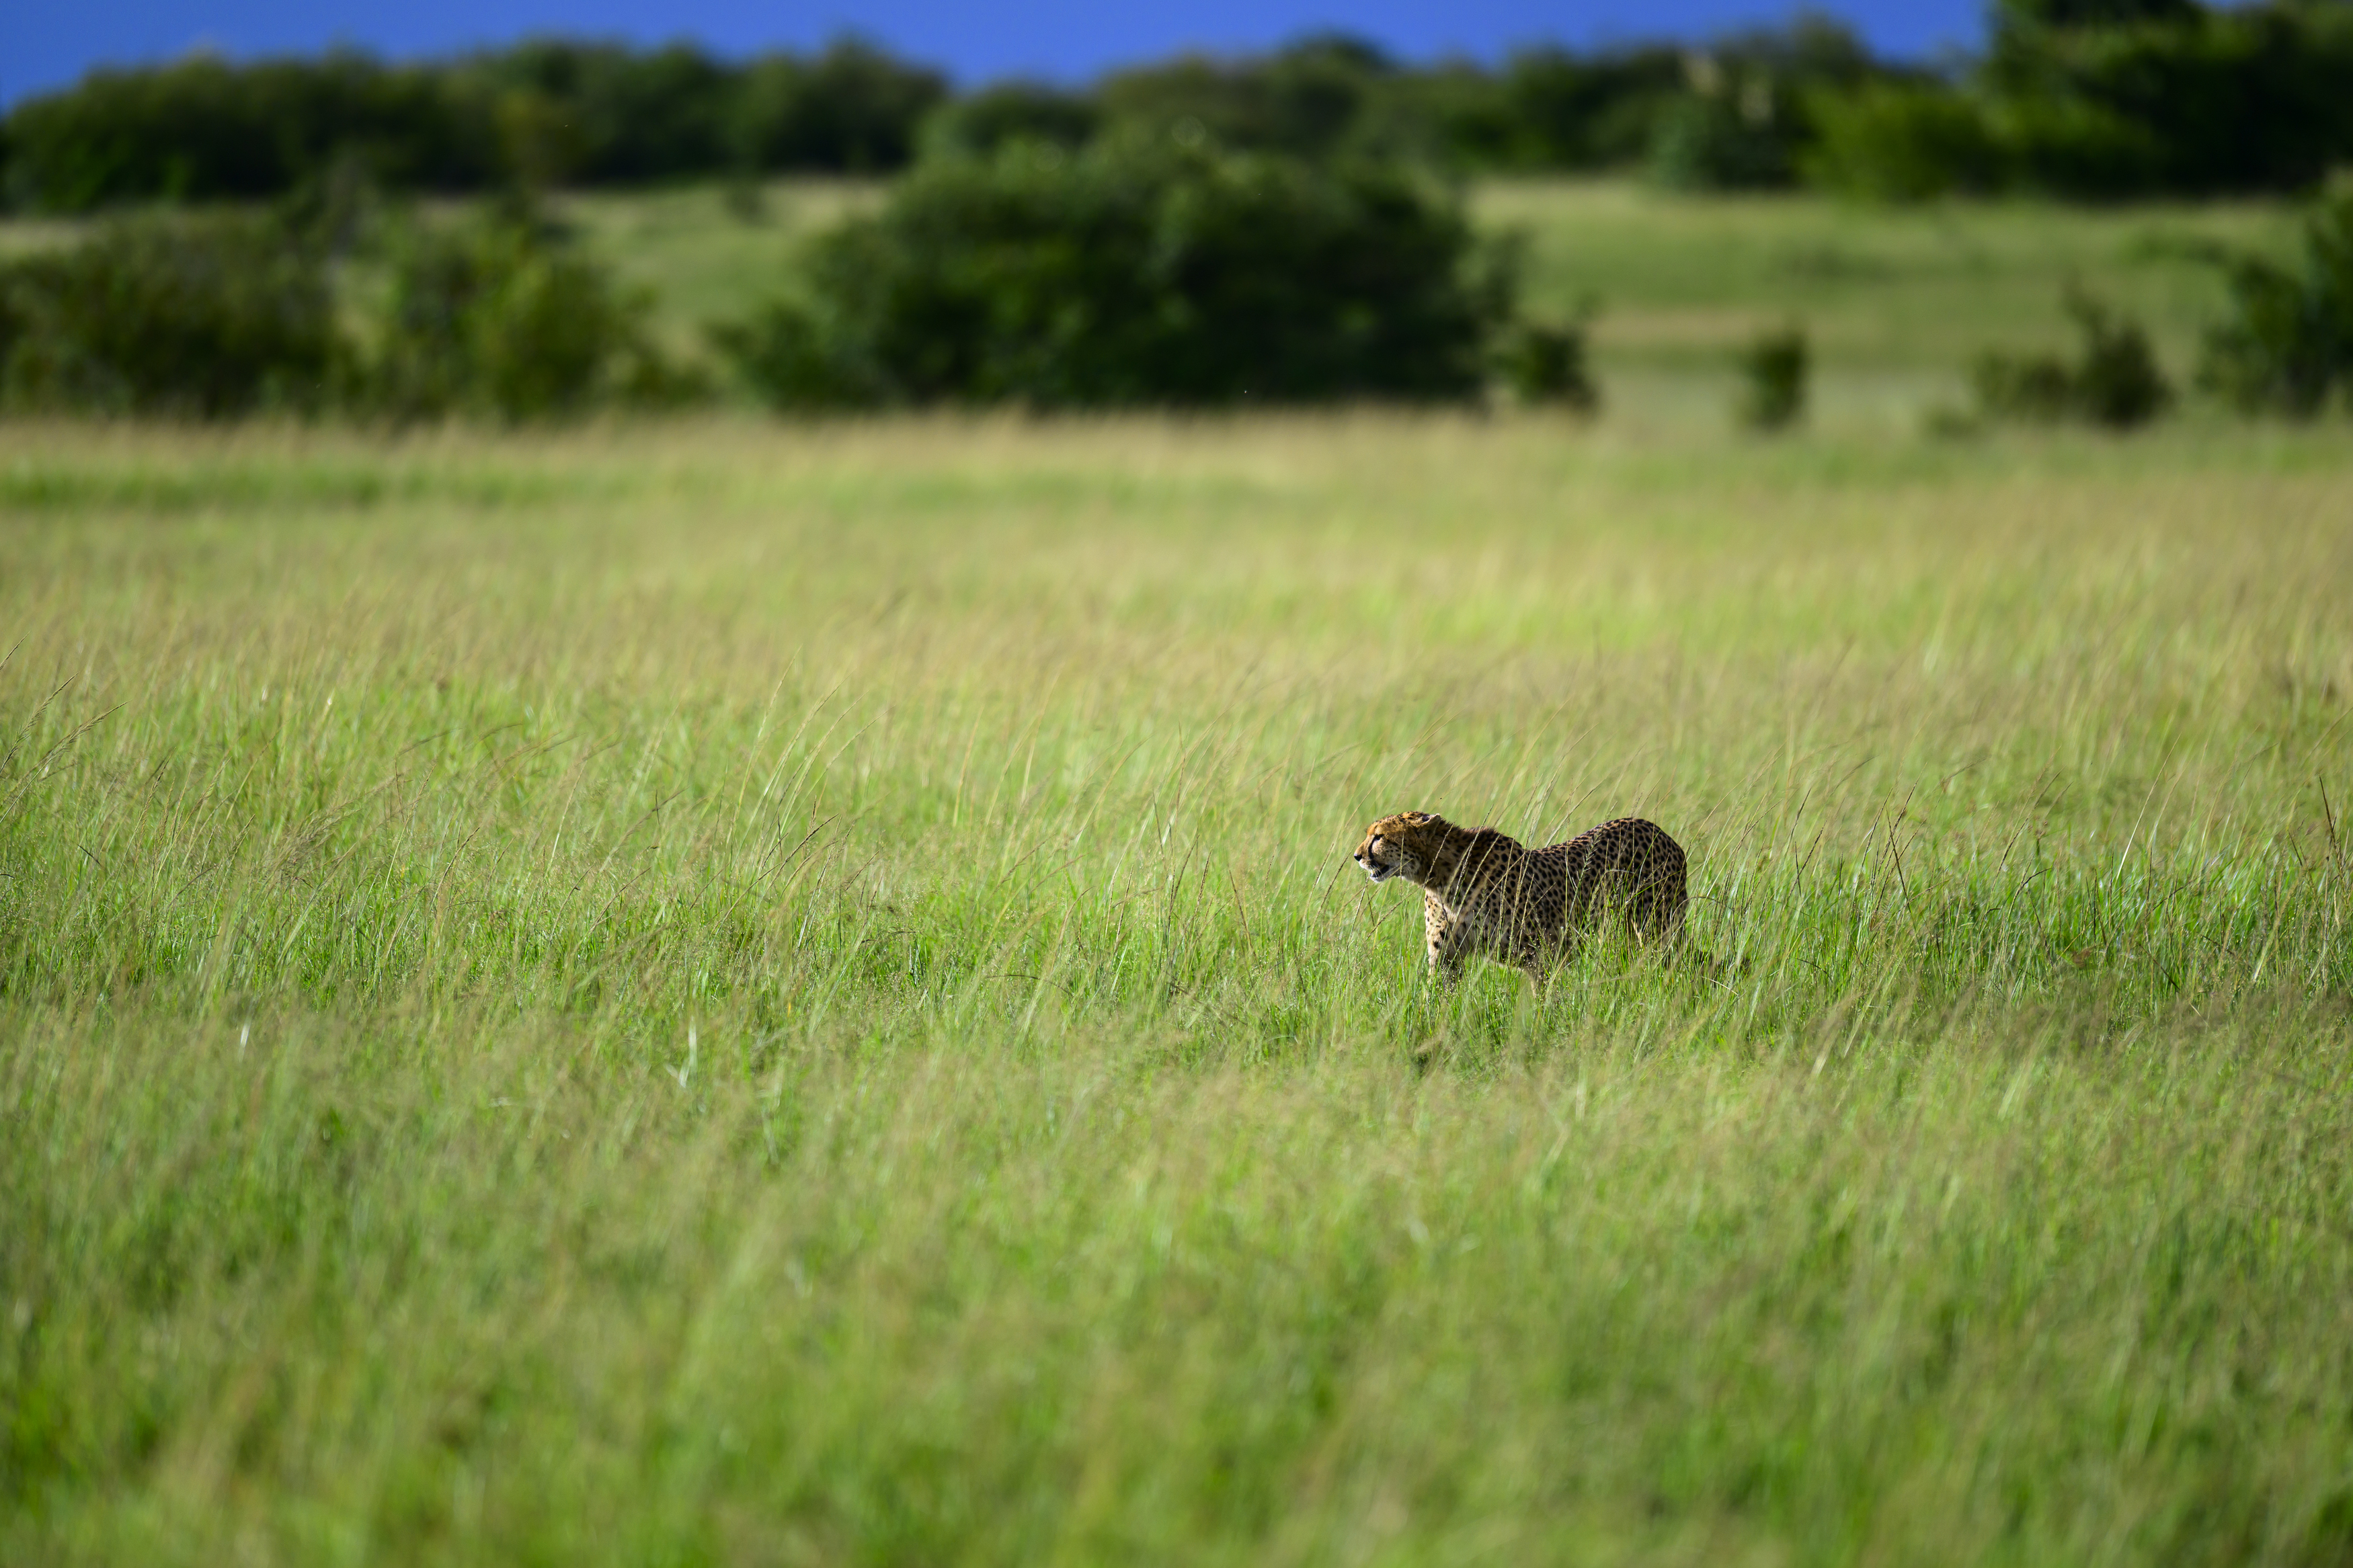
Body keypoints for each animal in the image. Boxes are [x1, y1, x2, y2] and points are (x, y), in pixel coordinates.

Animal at [1365, 809, 1694, 983]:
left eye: (1379, 837)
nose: (1357, 856)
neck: (1440, 876)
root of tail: (1660, 832)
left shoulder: (1544, 953)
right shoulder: (1445, 956)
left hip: (1655, 930)